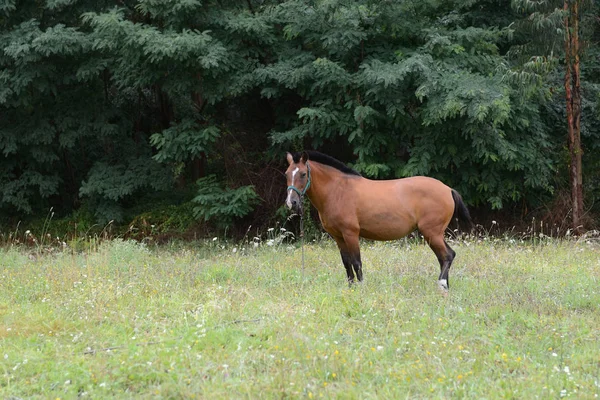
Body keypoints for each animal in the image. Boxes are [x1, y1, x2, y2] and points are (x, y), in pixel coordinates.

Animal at [286, 150, 474, 290]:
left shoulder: (351, 234)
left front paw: (362, 288)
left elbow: (357, 263)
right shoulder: (338, 237)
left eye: (303, 174)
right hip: (434, 235)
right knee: (445, 256)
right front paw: (351, 288)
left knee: (447, 256)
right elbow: (346, 263)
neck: (338, 191)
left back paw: (442, 285)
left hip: (432, 233)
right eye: (287, 174)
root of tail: (447, 189)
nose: (291, 202)